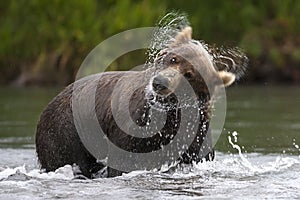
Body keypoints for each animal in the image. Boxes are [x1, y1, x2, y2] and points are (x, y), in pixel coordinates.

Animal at [35, 25, 246, 177]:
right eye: (174, 59)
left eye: (189, 74)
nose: (160, 83)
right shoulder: (131, 124)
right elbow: (122, 160)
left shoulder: (193, 134)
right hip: (66, 131)